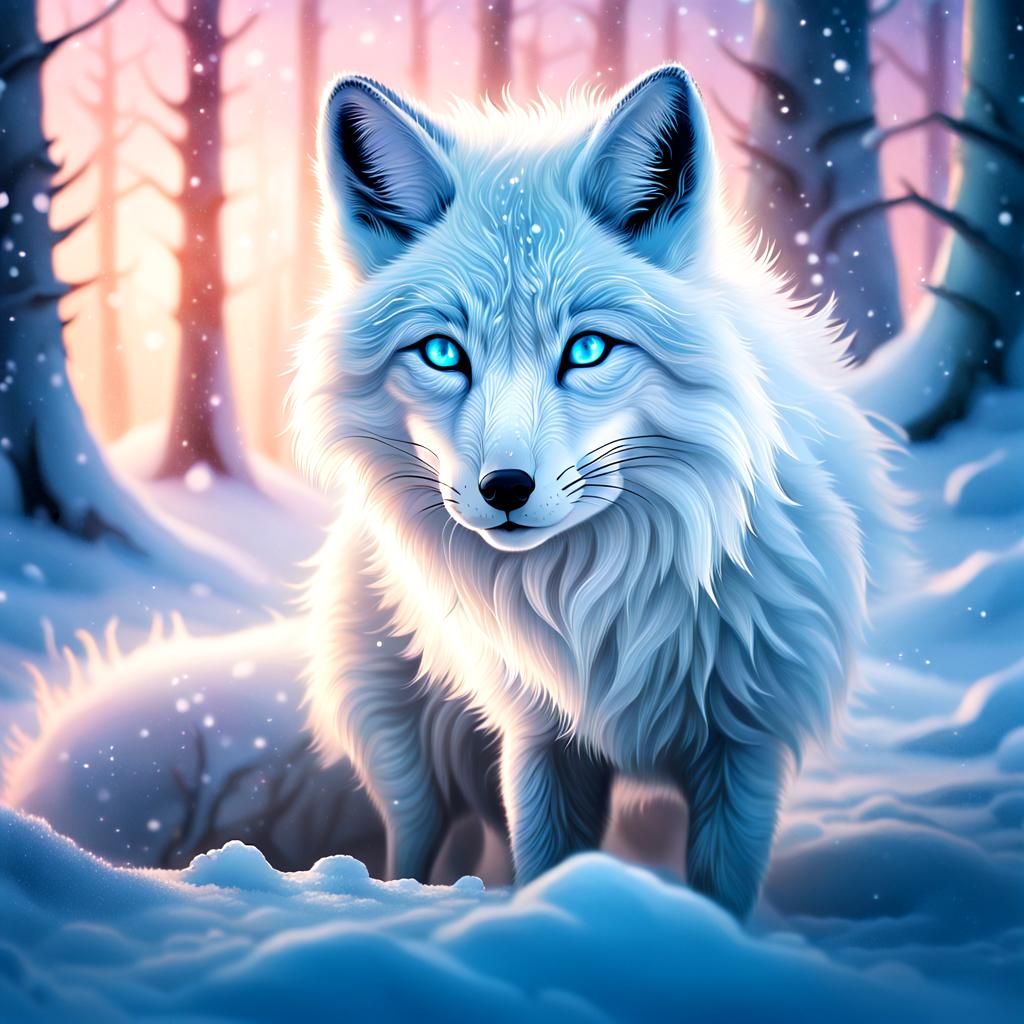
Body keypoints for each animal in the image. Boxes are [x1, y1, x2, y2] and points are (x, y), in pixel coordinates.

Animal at [292, 64, 905, 918]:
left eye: (587, 350)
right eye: (443, 354)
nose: (504, 487)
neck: (605, 596)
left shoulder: (745, 749)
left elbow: (721, 895)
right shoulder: (542, 740)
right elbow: (546, 864)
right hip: (408, 762)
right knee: (412, 846)